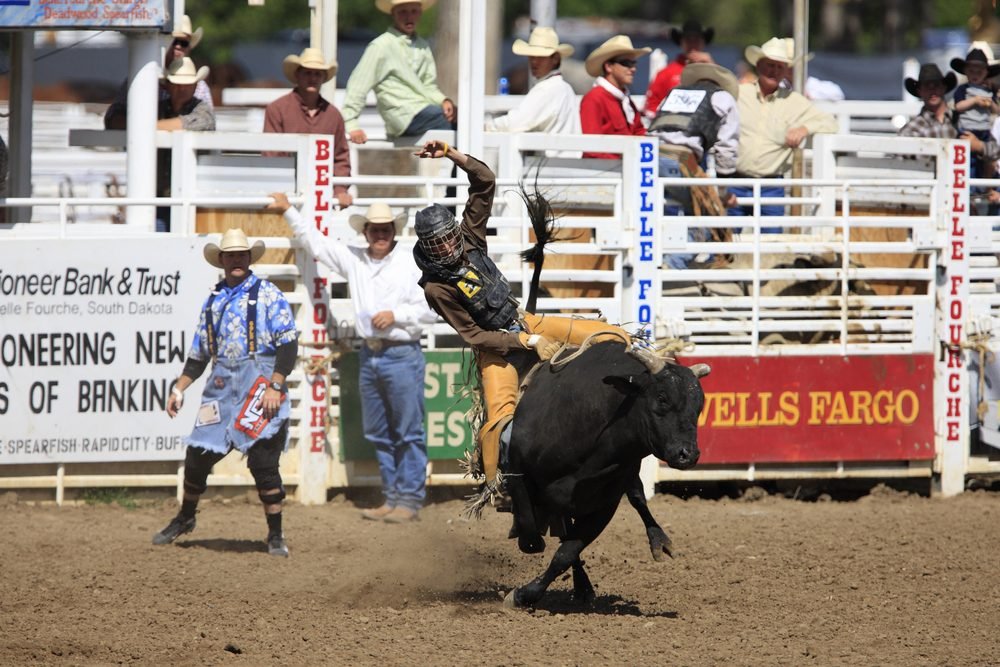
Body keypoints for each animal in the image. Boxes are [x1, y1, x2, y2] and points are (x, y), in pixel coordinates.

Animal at [500, 342, 712, 608]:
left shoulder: (604, 505)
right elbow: (531, 537)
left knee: (635, 500)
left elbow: (565, 553)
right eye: (662, 397)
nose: (688, 454)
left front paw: (525, 594)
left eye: (699, 405)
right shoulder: (518, 473)